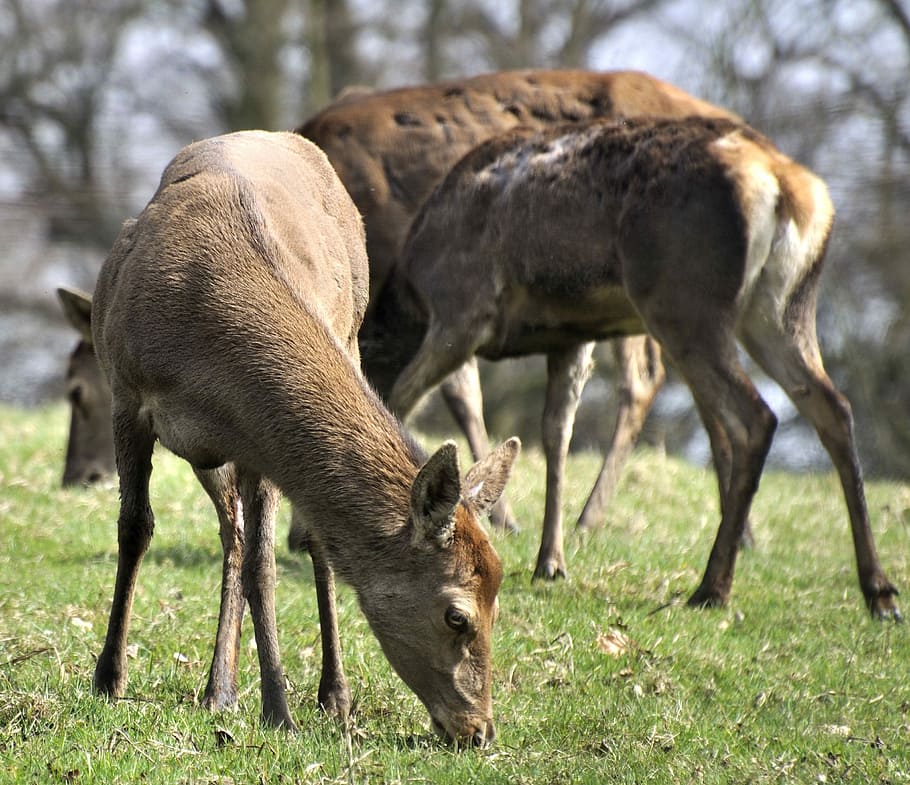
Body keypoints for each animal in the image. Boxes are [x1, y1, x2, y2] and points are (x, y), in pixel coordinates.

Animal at [89, 129, 520, 745]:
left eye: (499, 604)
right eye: (457, 614)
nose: (479, 731)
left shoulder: (258, 445)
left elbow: (264, 569)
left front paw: (278, 708)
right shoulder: (126, 392)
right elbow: (135, 530)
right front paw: (108, 678)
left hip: (349, 338)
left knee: (302, 543)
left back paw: (328, 694)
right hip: (207, 452)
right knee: (232, 534)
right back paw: (219, 690)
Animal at [364, 115, 901, 620]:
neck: (409, 294)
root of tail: (786, 185)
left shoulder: (462, 308)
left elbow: (400, 399)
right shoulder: (569, 333)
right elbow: (556, 433)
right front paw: (550, 562)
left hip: (683, 300)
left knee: (755, 417)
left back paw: (712, 588)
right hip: (781, 308)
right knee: (833, 406)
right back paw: (880, 592)